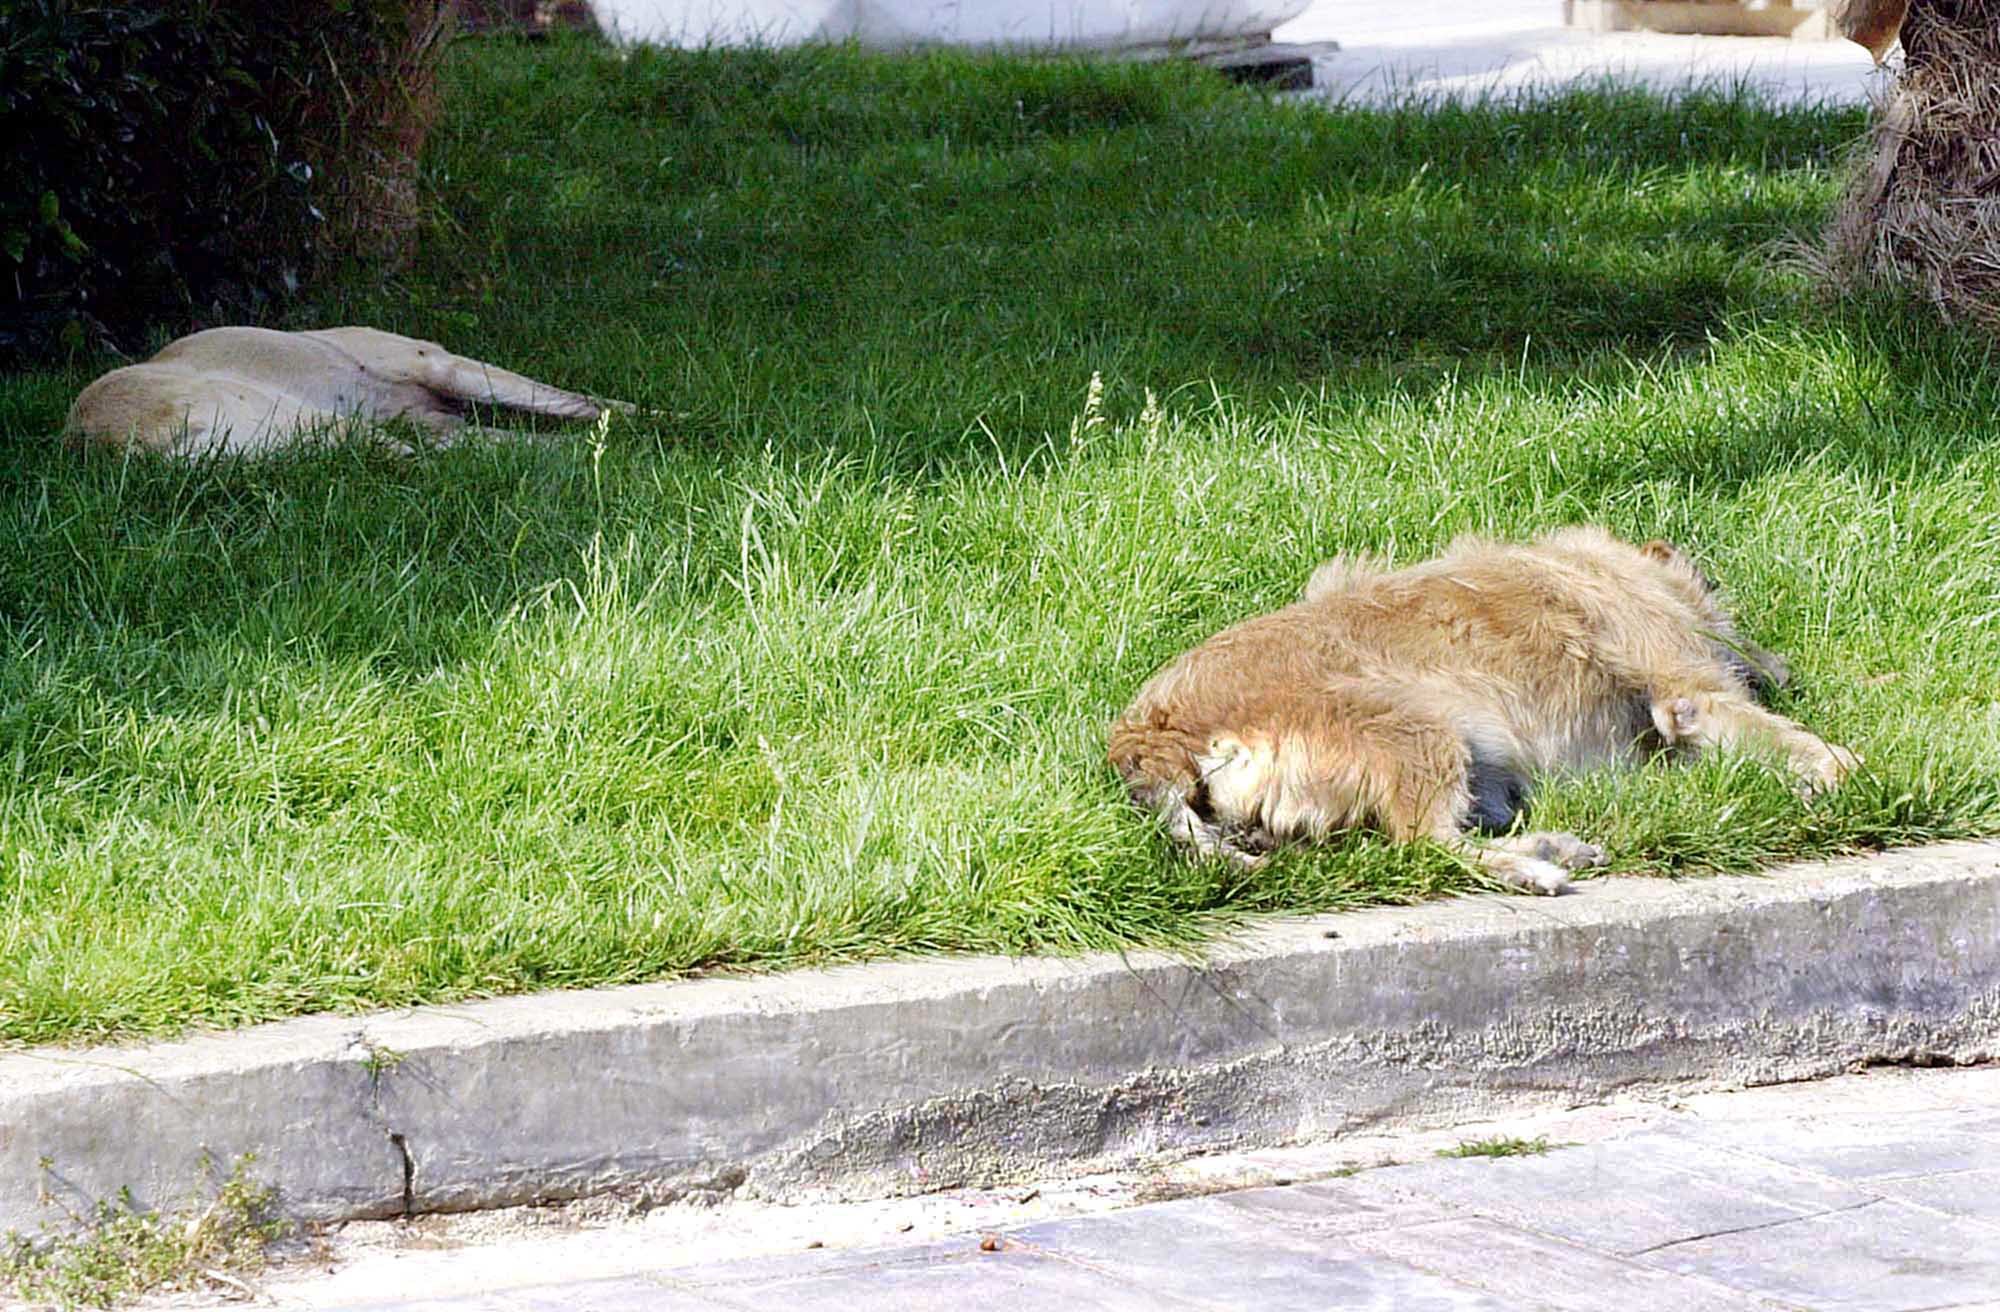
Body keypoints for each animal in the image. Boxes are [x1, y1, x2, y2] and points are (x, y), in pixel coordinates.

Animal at [1112, 528, 1856, 896]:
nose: (1787, 673)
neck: (1601, 568)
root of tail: (1149, 734)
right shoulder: (1689, 693)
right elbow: (1795, 741)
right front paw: (1842, 772)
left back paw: (1551, 846)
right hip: (1421, 729)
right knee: (1427, 844)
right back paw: (1538, 866)